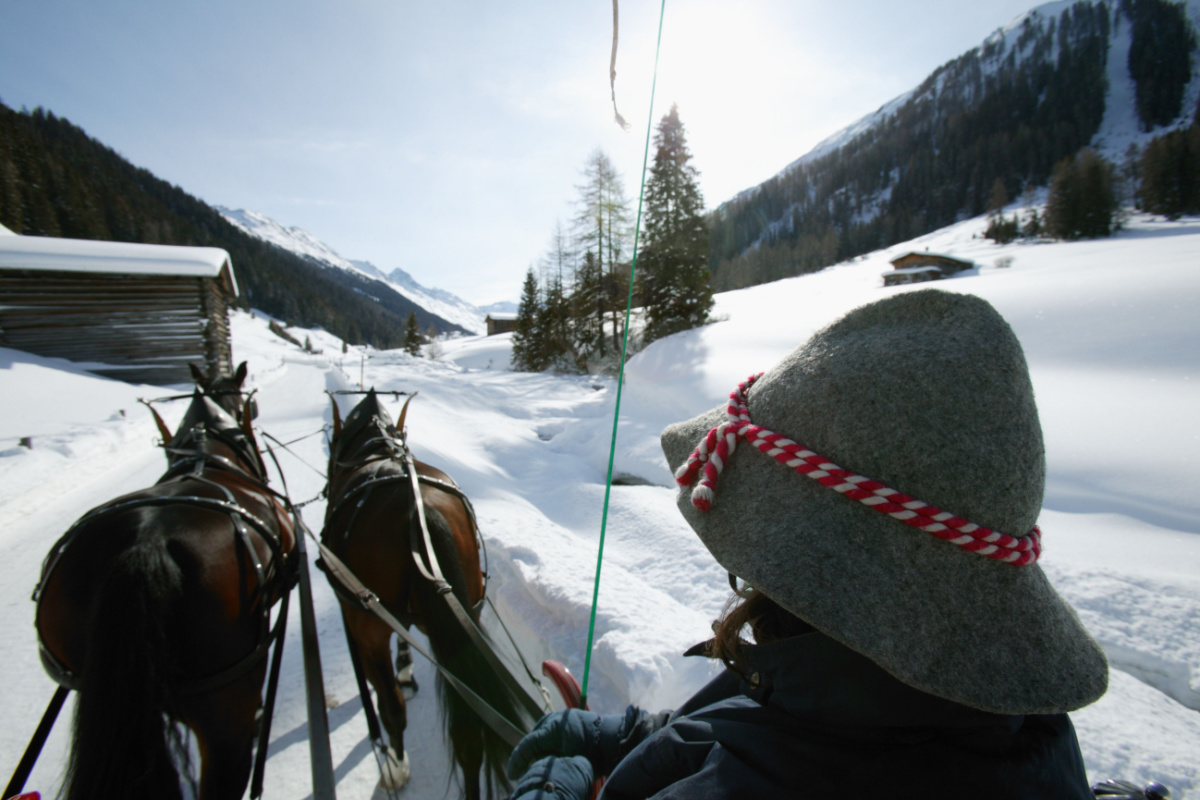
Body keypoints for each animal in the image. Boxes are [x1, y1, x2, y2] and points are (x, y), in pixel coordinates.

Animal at [324, 391, 540, 796]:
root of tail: (417, 511)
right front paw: (407, 668)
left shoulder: (359, 617)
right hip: (469, 614)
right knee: (468, 734)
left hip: (368, 622)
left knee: (392, 708)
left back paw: (395, 764)